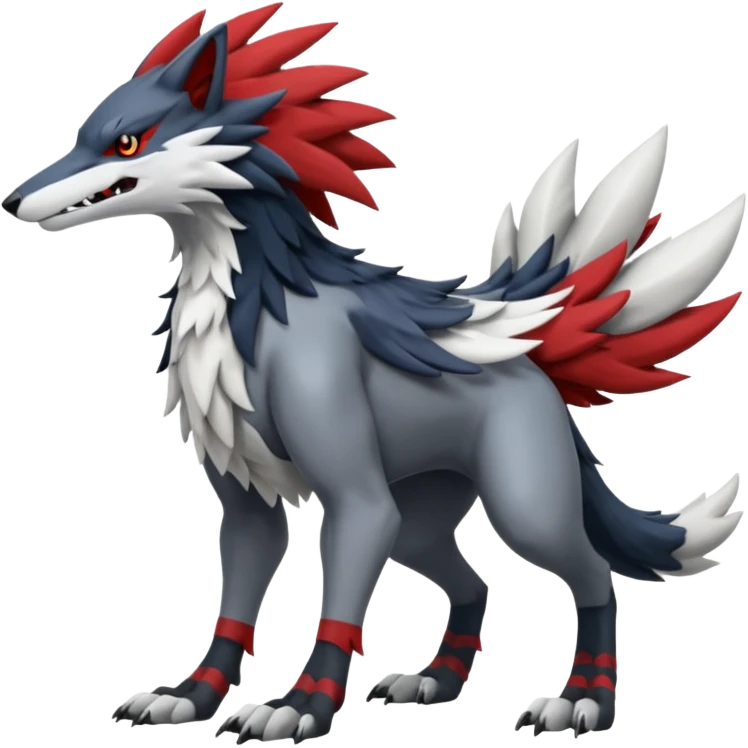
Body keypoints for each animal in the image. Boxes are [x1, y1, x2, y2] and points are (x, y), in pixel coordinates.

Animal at [4, 4, 744, 743]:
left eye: (127, 143)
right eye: (84, 135)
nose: (13, 201)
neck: (251, 310)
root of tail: (530, 352)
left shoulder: (357, 499)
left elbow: (337, 607)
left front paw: (301, 707)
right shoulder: (246, 503)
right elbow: (235, 604)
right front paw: (192, 696)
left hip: (522, 504)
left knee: (593, 576)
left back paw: (583, 698)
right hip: (423, 515)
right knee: (475, 581)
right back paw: (438, 680)